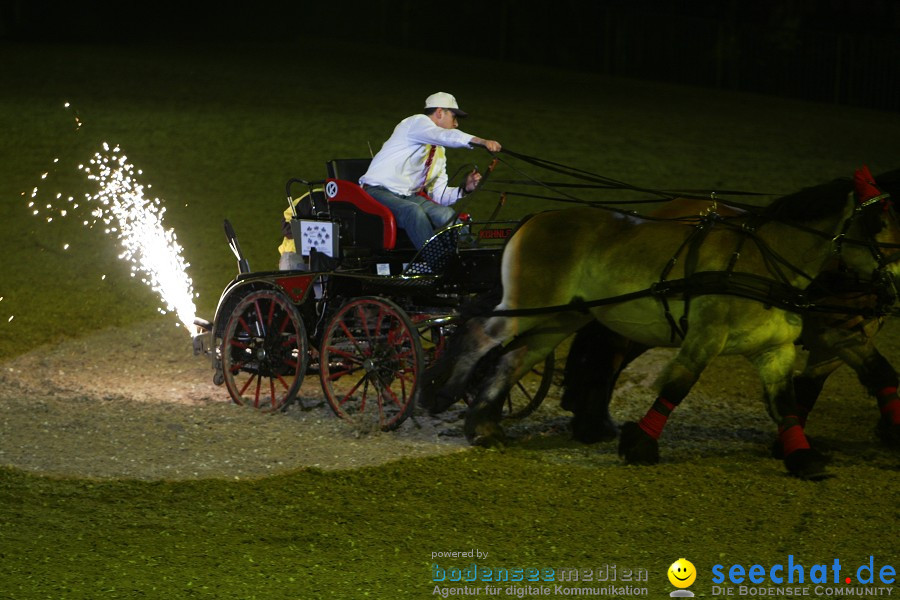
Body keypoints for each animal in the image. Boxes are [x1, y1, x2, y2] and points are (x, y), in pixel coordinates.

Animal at [420, 166, 900, 480]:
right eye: (878, 222)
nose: (894, 285)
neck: (762, 261)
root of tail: (536, 218)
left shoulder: (777, 349)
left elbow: (788, 401)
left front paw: (802, 456)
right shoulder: (707, 336)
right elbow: (677, 386)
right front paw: (640, 445)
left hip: (561, 317)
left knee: (515, 360)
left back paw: (486, 426)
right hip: (529, 306)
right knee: (480, 334)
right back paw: (441, 394)